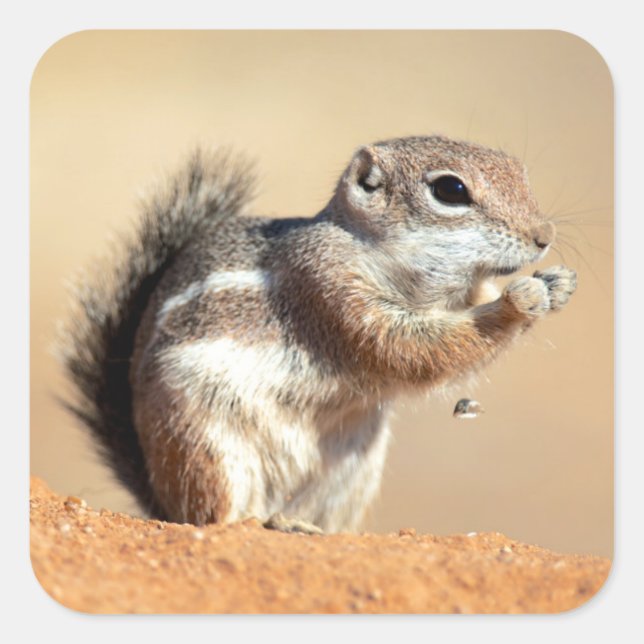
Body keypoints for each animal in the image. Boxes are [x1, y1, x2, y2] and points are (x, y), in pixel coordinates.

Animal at [60, 135, 577, 533]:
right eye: (450, 189)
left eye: (518, 171)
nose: (544, 236)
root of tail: (159, 498)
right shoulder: (327, 288)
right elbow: (410, 349)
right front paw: (519, 301)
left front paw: (558, 285)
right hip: (204, 445)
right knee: (214, 517)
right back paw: (263, 521)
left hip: (351, 472)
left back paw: (304, 526)